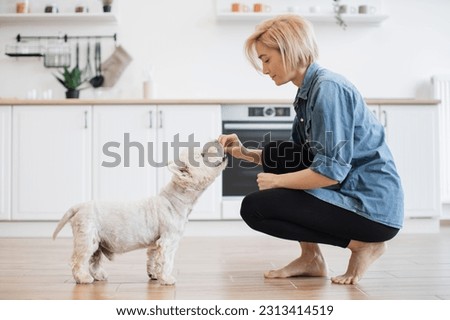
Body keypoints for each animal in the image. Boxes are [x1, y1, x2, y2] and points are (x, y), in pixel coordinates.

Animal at [53, 142, 227, 284]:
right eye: (202, 155)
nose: (223, 150)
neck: (174, 199)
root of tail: (79, 206)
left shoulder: (156, 242)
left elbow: (153, 258)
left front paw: (154, 275)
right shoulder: (169, 239)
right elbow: (167, 260)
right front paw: (167, 279)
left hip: (98, 240)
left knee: (94, 259)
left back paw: (99, 276)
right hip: (87, 236)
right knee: (79, 260)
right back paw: (83, 278)